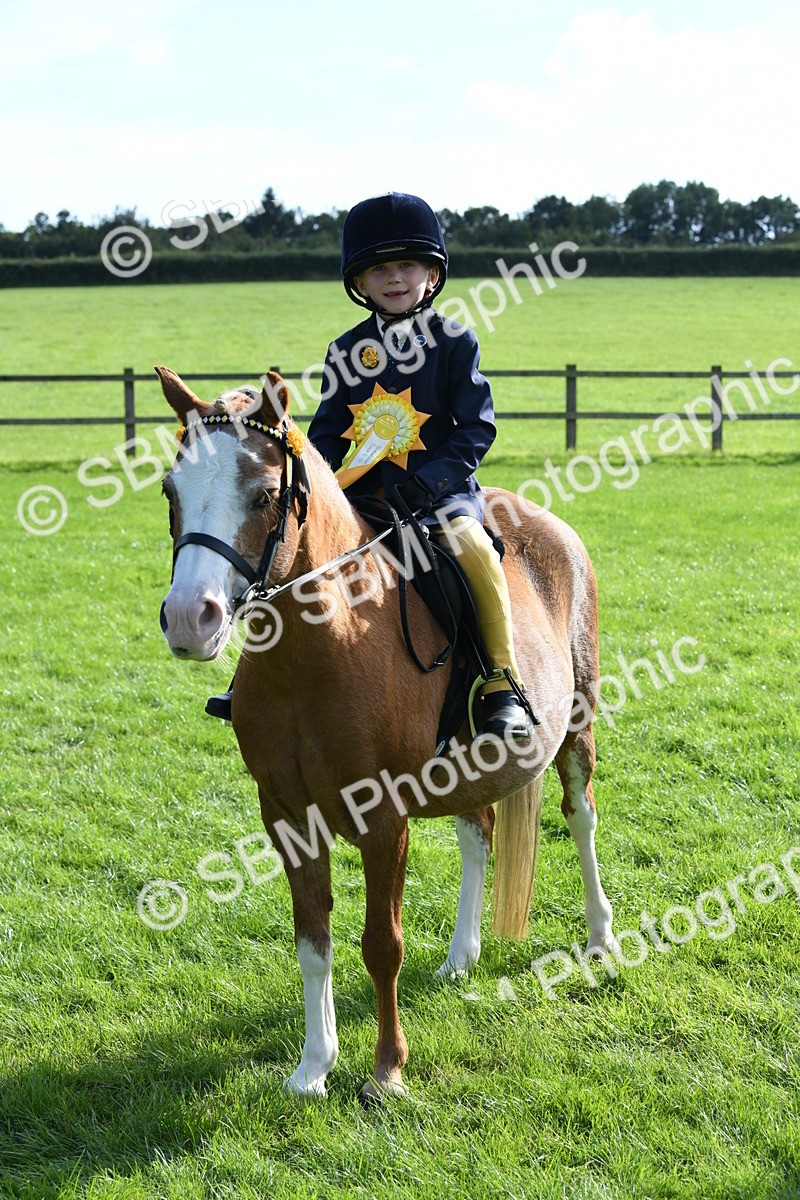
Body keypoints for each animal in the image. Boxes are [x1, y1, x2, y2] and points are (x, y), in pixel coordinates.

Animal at [155, 365, 617, 1100]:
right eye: (172, 491)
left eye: (264, 494)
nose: (188, 619)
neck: (320, 648)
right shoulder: (286, 816)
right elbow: (312, 942)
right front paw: (313, 1066)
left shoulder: (383, 819)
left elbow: (381, 943)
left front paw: (386, 1069)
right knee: (478, 833)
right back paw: (462, 955)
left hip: (578, 727)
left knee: (580, 817)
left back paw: (600, 937)